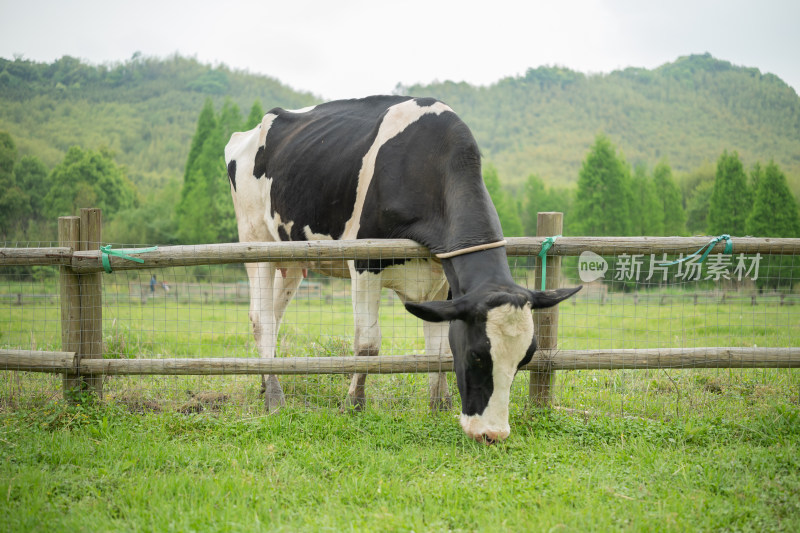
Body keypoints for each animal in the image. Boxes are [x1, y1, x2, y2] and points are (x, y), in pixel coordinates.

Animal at [227, 94, 580, 440]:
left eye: (525, 357)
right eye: (477, 354)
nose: (492, 434)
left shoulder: (445, 280)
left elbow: (438, 348)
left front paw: (439, 406)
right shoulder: (365, 263)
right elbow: (368, 344)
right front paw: (353, 406)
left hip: (292, 255)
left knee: (274, 316)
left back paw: (264, 384)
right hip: (256, 242)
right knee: (262, 319)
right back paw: (275, 398)